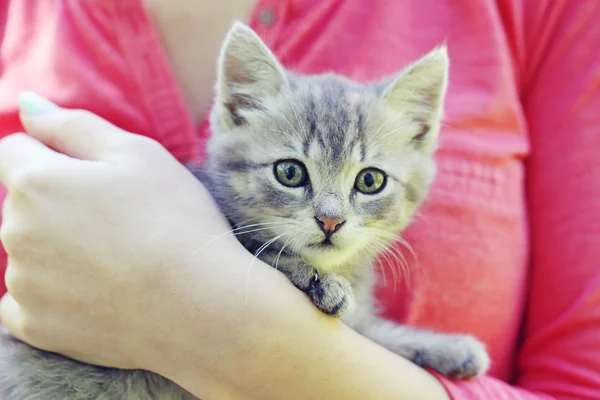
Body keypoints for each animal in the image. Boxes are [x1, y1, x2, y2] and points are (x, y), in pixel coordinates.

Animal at [0, 22, 490, 400]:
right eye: (290, 172)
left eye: (370, 181)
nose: (330, 221)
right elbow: (270, 253)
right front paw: (317, 280)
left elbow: (372, 331)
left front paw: (442, 347)